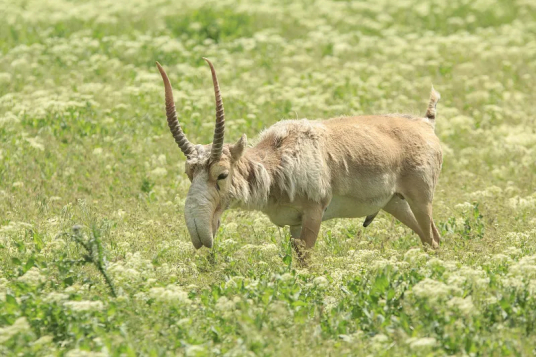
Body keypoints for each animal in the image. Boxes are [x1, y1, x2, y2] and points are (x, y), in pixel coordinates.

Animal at [157, 59, 442, 258]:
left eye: (222, 174)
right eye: (189, 173)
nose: (200, 232)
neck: (278, 159)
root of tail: (425, 124)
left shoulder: (313, 214)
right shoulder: (294, 224)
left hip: (421, 201)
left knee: (433, 238)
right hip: (395, 203)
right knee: (431, 239)